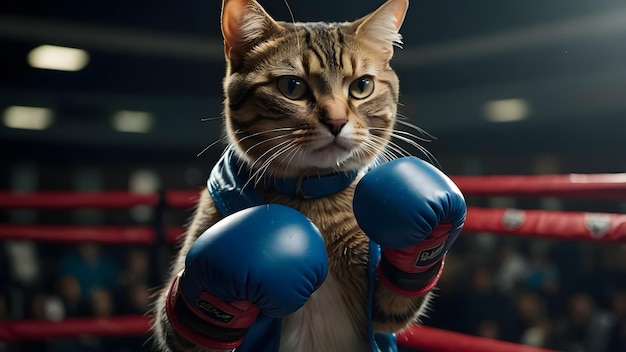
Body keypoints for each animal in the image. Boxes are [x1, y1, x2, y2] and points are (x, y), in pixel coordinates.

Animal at [152, 0, 436, 352]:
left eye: (362, 86)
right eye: (292, 87)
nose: (337, 121)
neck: (310, 197)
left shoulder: (380, 312)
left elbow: (396, 299)